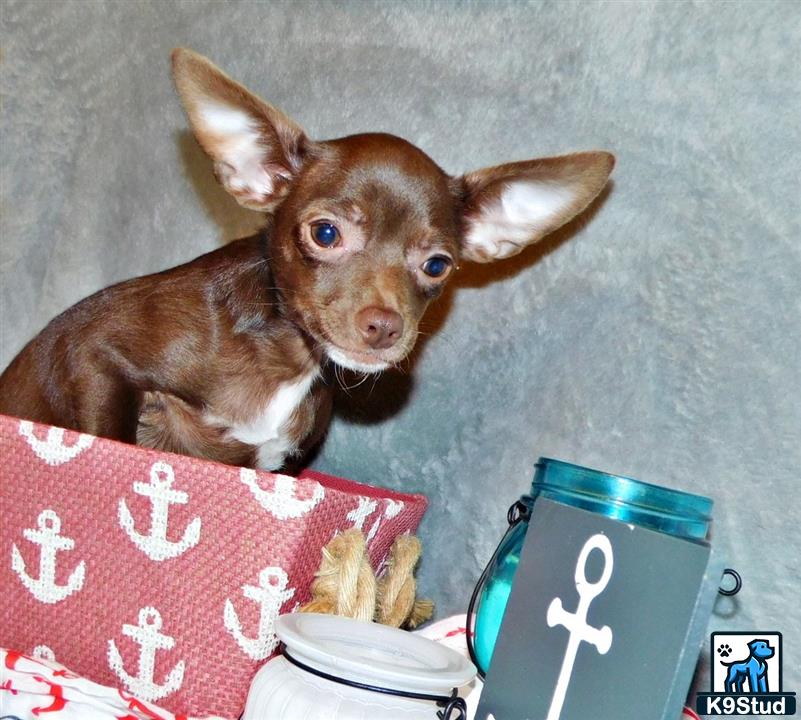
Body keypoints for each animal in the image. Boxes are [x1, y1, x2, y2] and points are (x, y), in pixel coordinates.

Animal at [0, 47, 616, 470]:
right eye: (324, 233)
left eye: (437, 266)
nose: (385, 326)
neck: (286, 358)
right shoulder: (95, 357)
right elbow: (109, 434)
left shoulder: (277, 462)